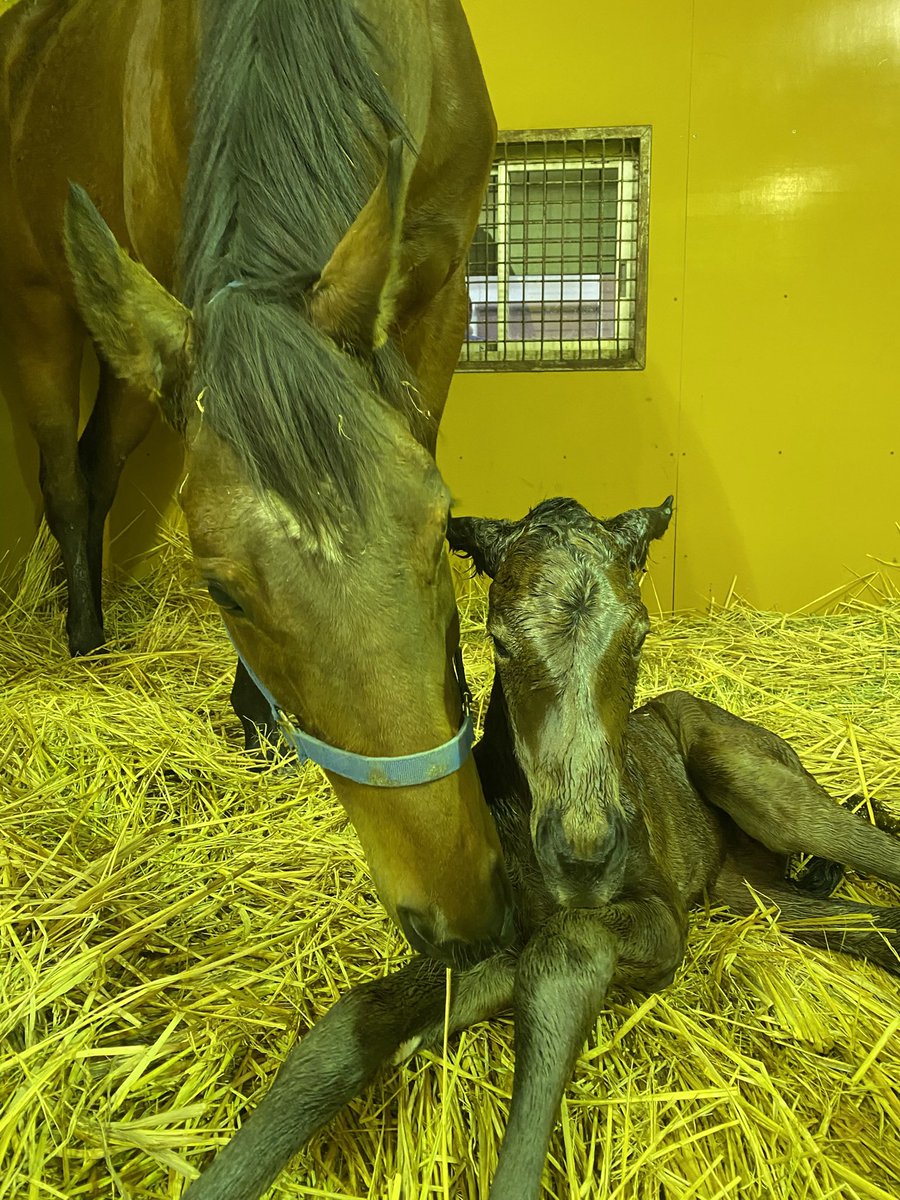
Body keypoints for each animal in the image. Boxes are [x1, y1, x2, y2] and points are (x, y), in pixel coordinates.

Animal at [0, 0, 513, 961]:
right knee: (66, 481)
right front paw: (256, 721)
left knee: (97, 464)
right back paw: (86, 636)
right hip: (43, 313)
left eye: (441, 530)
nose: (460, 912)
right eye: (222, 593)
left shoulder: (442, 289)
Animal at [175, 494, 900, 1200]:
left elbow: (561, 951)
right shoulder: (483, 924)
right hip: (750, 894)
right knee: (868, 923)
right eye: (498, 641)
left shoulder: (663, 917)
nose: (583, 855)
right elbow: (354, 1021)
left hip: (750, 779)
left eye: (638, 635)